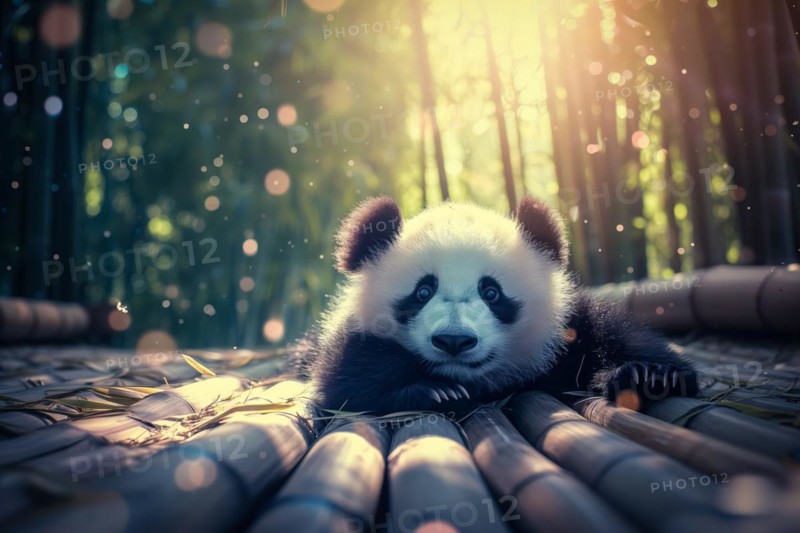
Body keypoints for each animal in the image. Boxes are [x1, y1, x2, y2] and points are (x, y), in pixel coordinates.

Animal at [296, 195, 698, 414]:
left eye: (491, 292)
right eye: (423, 292)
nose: (454, 341)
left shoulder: (568, 326)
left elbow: (618, 335)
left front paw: (646, 376)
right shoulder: (351, 336)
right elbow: (345, 380)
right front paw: (434, 391)